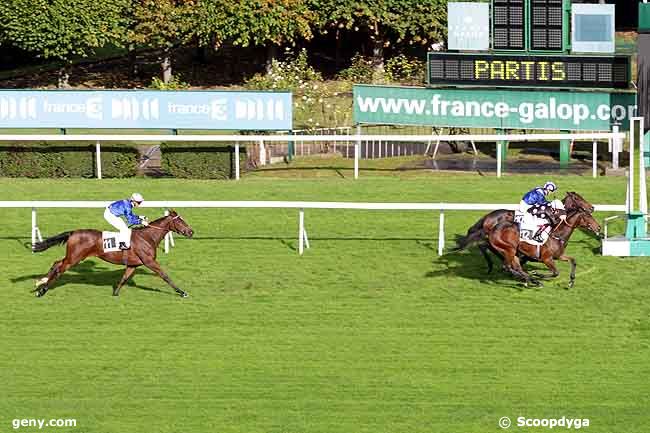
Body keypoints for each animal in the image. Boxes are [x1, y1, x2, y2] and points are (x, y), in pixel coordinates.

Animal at [30, 209, 192, 296]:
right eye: (180, 221)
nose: (191, 231)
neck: (147, 237)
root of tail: (73, 232)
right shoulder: (149, 261)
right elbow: (165, 275)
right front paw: (182, 292)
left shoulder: (133, 265)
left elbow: (124, 278)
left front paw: (115, 293)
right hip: (74, 258)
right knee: (59, 268)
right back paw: (42, 290)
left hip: (72, 257)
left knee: (56, 263)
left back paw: (41, 281)